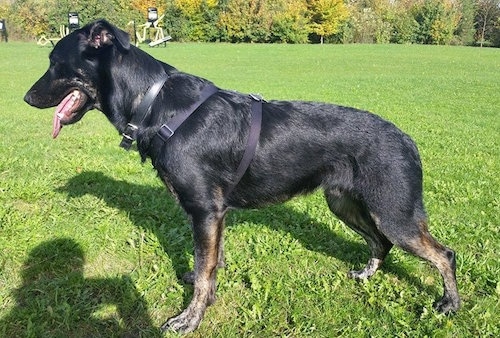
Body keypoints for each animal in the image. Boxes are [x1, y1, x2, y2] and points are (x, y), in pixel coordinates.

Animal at [25, 19, 458, 332]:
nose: (26, 98)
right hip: (346, 206)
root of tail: (407, 139)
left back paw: (449, 305)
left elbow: (203, 272)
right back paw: (368, 275)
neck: (154, 103)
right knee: (380, 244)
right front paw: (206, 300)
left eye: (54, 62)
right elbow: (210, 267)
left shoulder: (205, 212)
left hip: (394, 215)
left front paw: (190, 319)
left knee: (443, 254)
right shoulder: (214, 217)